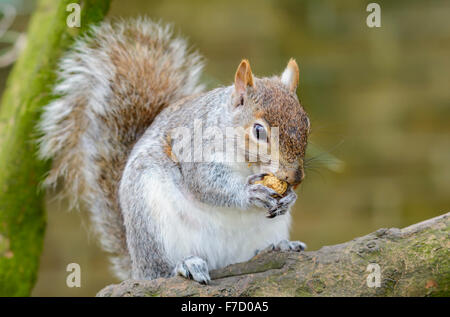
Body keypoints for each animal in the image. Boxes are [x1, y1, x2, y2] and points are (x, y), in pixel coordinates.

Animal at [38, 18, 312, 282]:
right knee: (159, 271)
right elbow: (205, 183)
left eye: (306, 122)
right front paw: (250, 193)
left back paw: (278, 246)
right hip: (151, 217)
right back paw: (183, 266)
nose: (295, 178)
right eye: (258, 131)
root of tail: (137, 267)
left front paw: (290, 197)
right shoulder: (195, 147)